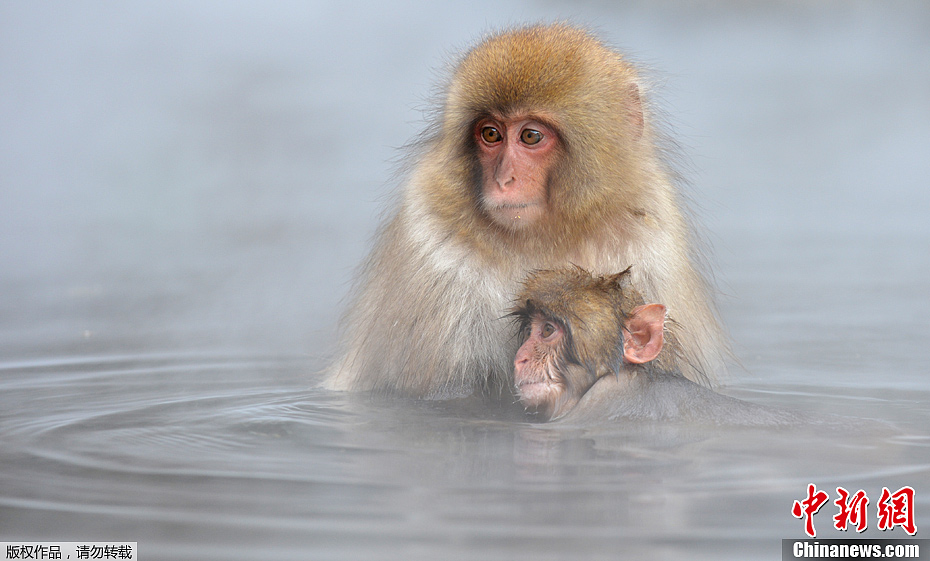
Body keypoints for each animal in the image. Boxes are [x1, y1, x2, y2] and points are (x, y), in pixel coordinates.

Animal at [324, 23, 724, 398]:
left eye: (530, 136)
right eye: (490, 134)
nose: (503, 180)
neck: (545, 235)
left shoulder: (651, 238)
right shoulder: (432, 245)